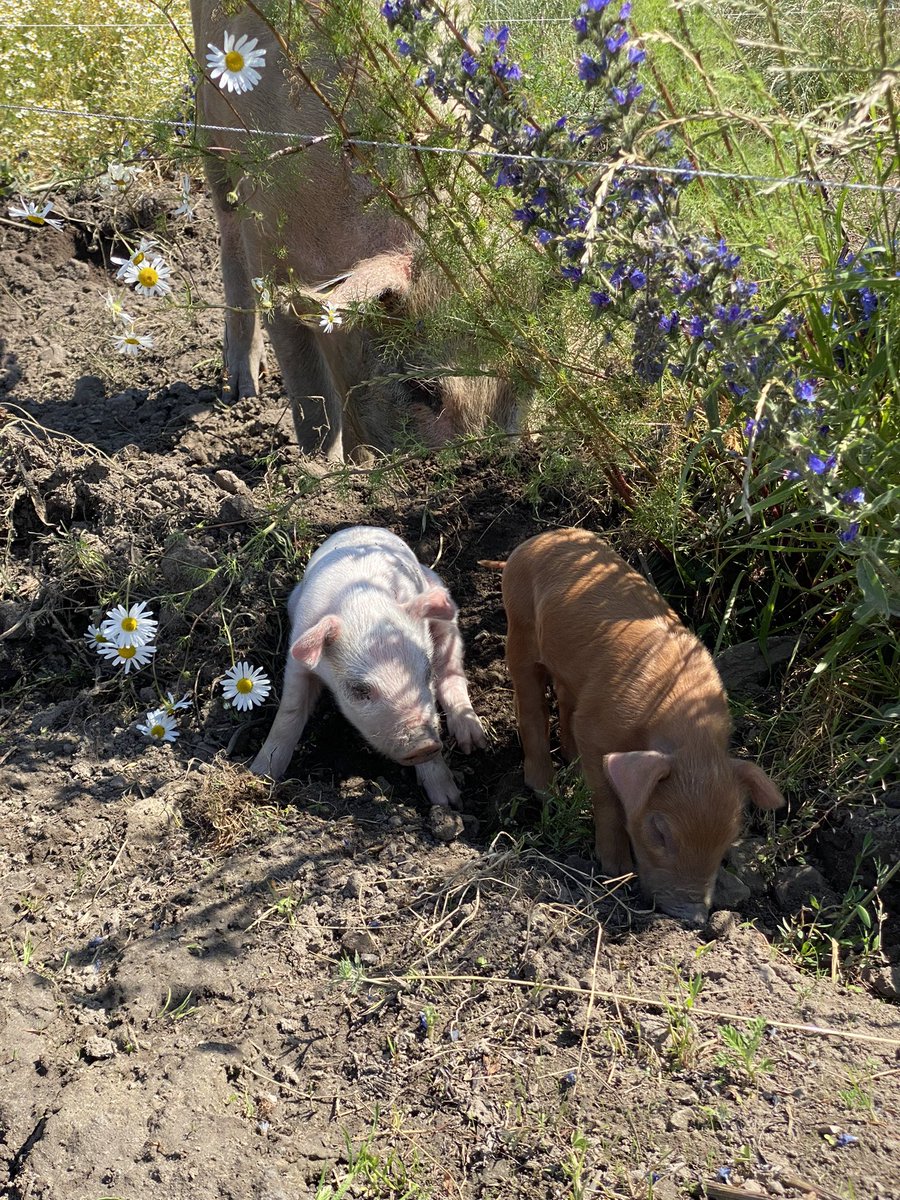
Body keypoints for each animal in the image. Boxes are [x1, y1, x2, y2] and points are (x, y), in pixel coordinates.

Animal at [190, 0, 520, 461]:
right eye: (421, 389)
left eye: (520, 382)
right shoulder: (271, 253)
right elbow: (312, 397)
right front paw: (321, 469)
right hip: (212, 127)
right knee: (227, 228)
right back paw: (242, 391)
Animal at [250, 526, 486, 805]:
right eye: (359, 690)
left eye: (427, 673)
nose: (424, 745)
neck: (363, 606)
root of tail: (362, 527)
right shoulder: (298, 659)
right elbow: (290, 713)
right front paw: (259, 775)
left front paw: (449, 802)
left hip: (442, 608)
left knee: (453, 671)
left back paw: (475, 743)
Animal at [500, 529, 784, 926]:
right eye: (660, 832)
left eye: (728, 839)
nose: (694, 916)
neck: (687, 735)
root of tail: (540, 538)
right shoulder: (596, 731)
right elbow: (607, 799)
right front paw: (615, 870)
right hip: (520, 623)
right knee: (530, 706)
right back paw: (545, 790)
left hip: (569, 669)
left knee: (564, 700)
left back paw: (570, 767)